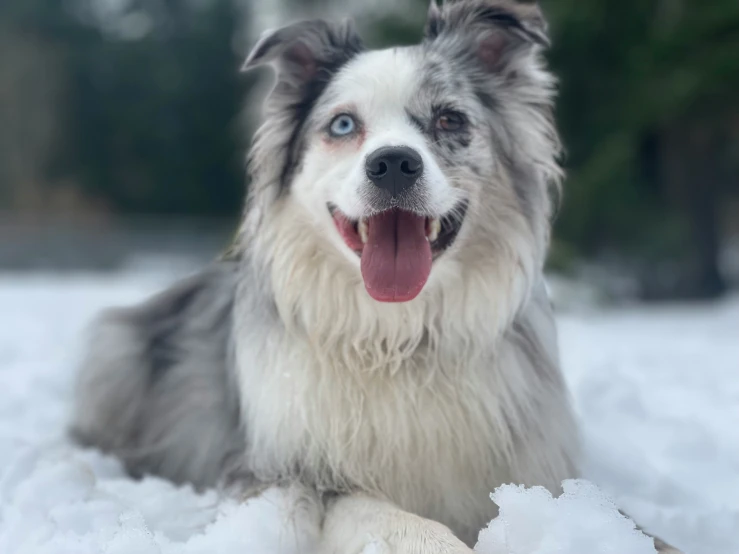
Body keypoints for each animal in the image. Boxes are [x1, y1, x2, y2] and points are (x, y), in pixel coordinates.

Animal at [73, 2, 684, 548]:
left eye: (449, 119)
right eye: (344, 124)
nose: (393, 164)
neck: (399, 337)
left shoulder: (535, 472)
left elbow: (638, 529)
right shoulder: (287, 472)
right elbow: (391, 518)